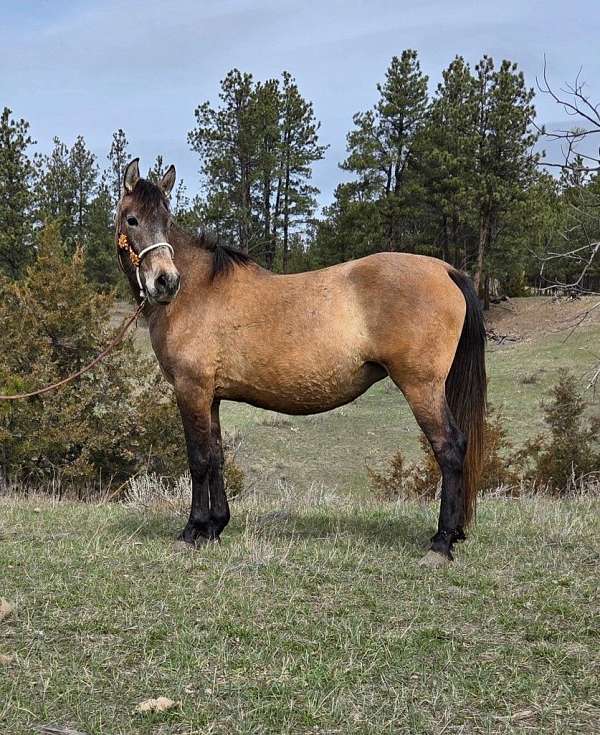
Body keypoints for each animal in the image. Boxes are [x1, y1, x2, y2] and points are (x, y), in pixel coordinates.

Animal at [116, 159, 486, 565]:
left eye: (166, 220)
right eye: (133, 219)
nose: (165, 282)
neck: (198, 290)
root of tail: (445, 270)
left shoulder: (191, 389)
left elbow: (197, 459)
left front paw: (191, 531)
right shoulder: (210, 396)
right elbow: (215, 457)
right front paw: (214, 527)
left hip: (422, 387)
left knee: (450, 448)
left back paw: (441, 542)